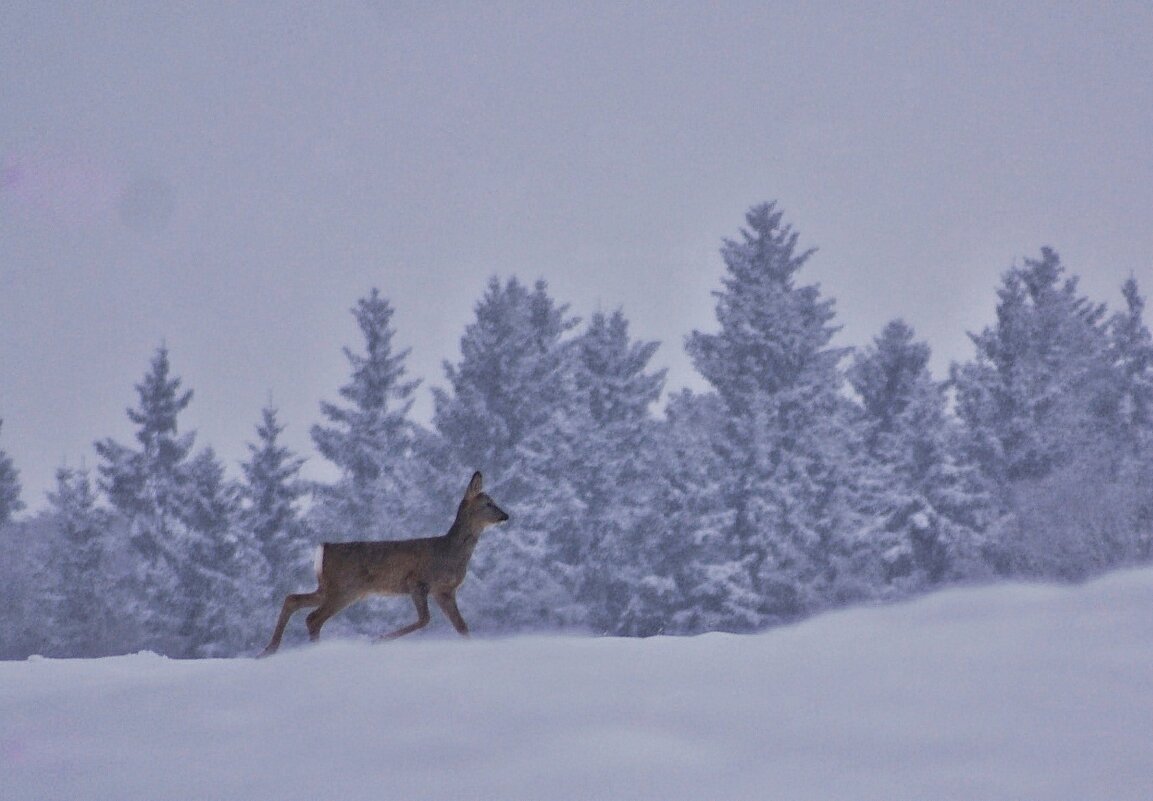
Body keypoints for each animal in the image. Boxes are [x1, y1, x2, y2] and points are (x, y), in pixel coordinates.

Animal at [267, 472, 511, 654]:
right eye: (488, 503)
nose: (505, 516)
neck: (449, 552)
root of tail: (324, 549)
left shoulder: (444, 591)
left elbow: (461, 626)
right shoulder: (417, 581)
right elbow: (425, 619)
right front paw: (378, 639)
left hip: (330, 588)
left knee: (292, 600)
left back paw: (269, 650)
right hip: (346, 588)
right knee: (313, 618)